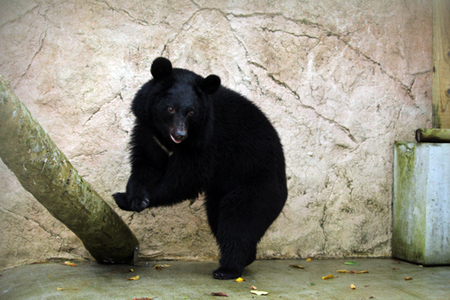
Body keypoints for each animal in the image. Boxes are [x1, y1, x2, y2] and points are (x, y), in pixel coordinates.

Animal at [114, 57, 286, 280]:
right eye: (170, 108)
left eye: (191, 112)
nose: (180, 134)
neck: (168, 138)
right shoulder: (148, 129)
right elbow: (146, 164)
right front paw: (135, 197)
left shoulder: (206, 141)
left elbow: (185, 179)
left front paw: (126, 199)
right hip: (221, 192)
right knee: (217, 218)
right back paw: (247, 258)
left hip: (258, 186)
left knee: (238, 221)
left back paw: (227, 269)